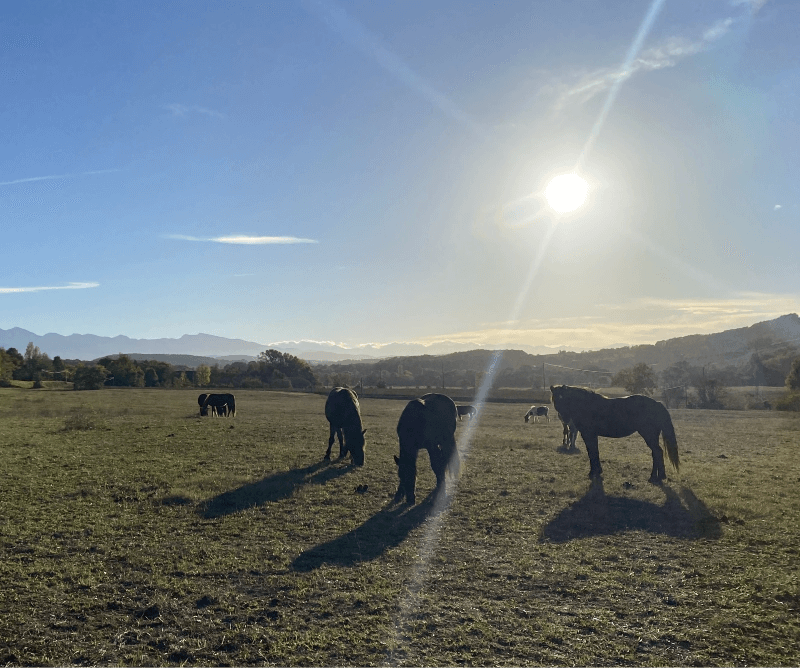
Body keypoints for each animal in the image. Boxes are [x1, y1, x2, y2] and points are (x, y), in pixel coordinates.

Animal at [552, 384, 680, 482]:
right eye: (555, 399)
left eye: (565, 398)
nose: (564, 418)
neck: (587, 406)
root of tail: (657, 403)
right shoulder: (592, 435)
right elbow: (594, 452)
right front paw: (597, 471)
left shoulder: (588, 435)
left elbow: (592, 453)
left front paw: (593, 473)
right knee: (657, 452)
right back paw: (659, 476)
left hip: (649, 435)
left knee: (657, 452)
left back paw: (655, 477)